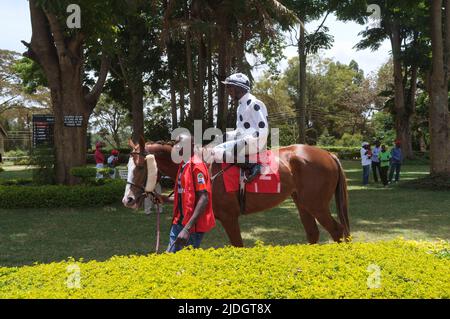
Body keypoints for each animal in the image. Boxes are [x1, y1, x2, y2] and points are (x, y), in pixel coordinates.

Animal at [125, 138, 350, 248]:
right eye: (127, 165)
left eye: (141, 167)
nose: (128, 199)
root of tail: (328, 154)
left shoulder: (229, 217)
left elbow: (238, 245)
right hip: (302, 203)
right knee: (313, 233)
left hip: (316, 205)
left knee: (337, 231)